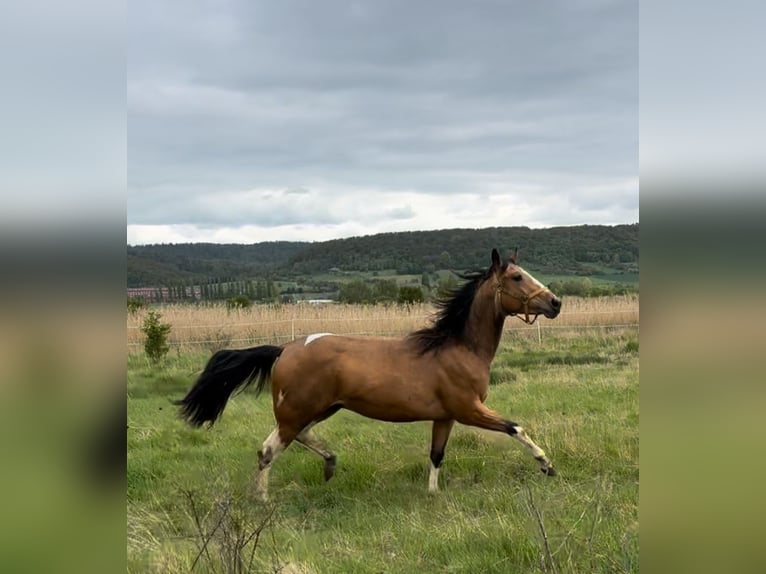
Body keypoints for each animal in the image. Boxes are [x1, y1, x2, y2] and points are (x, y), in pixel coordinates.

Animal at [178, 250, 564, 502]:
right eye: (517, 277)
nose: (556, 303)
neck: (458, 348)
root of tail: (285, 348)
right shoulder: (469, 410)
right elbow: (515, 428)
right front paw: (547, 466)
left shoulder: (445, 416)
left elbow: (436, 455)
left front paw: (432, 493)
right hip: (296, 411)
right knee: (268, 450)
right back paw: (262, 499)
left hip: (321, 408)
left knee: (299, 437)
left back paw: (330, 463)